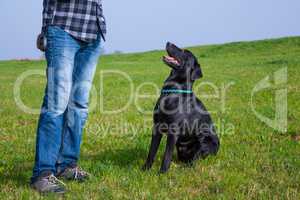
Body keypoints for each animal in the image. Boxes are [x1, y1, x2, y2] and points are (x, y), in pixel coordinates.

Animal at [142, 42, 219, 173]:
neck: (171, 92)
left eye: (184, 52)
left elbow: (166, 156)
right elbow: (151, 152)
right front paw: (145, 169)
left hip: (204, 140)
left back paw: (186, 167)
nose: (168, 42)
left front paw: (162, 173)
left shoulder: (173, 131)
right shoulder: (156, 127)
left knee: (195, 158)